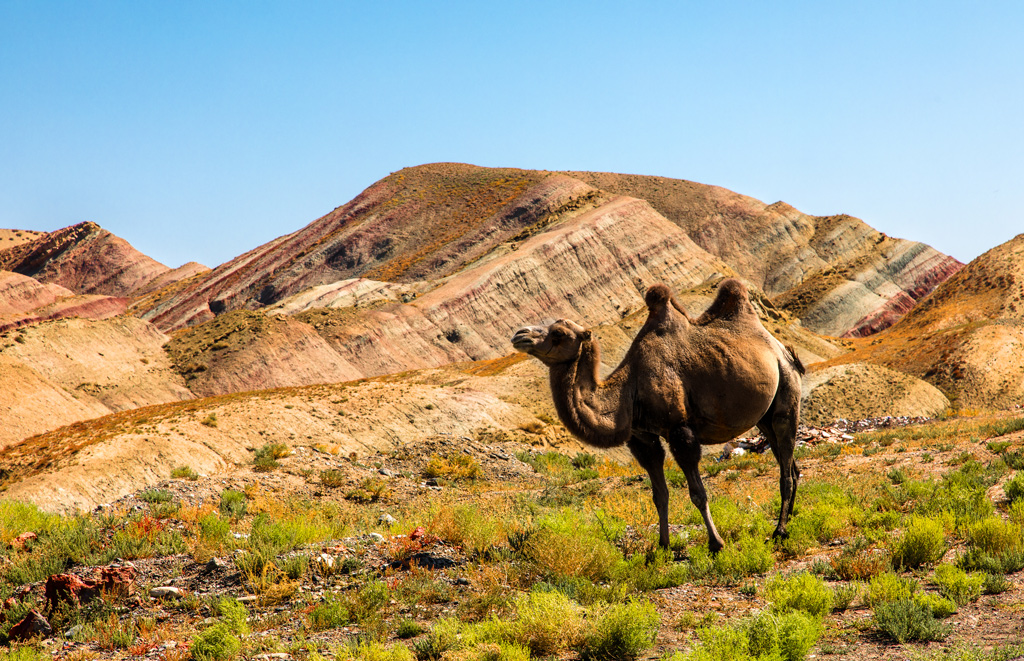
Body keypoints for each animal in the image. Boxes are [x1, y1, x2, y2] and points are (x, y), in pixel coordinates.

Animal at [507, 280, 802, 552]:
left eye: (557, 333)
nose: (520, 334)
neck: (629, 391)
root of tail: (782, 348)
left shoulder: (679, 429)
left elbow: (698, 493)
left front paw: (716, 544)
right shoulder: (642, 437)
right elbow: (659, 495)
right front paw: (663, 546)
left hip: (786, 387)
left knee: (785, 463)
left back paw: (779, 531)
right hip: (763, 416)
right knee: (789, 464)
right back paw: (790, 518)